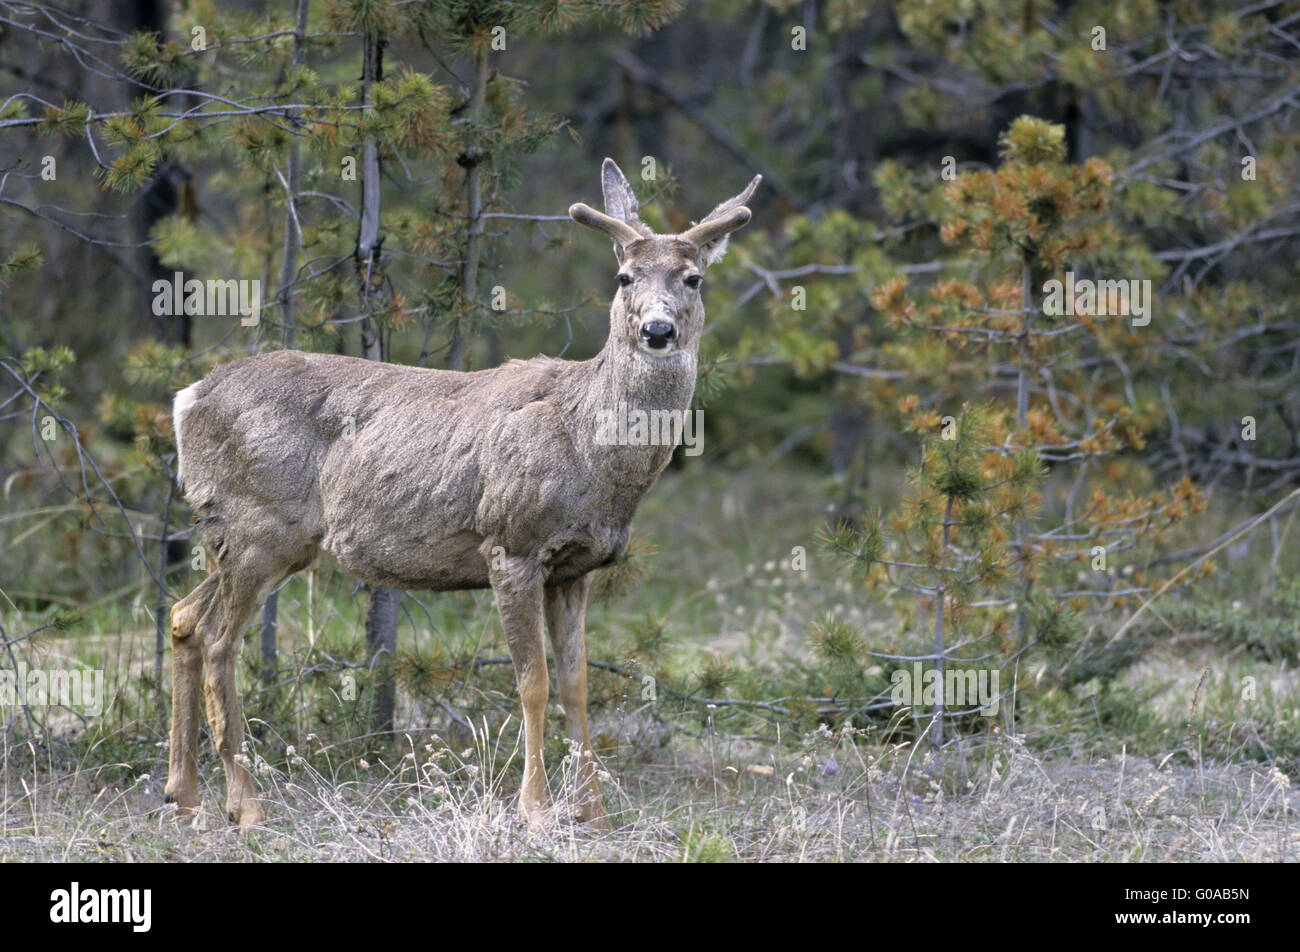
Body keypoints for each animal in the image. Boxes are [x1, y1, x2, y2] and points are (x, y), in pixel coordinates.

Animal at [163, 159, 759, 827]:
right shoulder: (512, 543)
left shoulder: (576, 568)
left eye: (694, 278)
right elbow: (533, 683)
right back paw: (246, 806)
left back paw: (183, 793)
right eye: (624, 276)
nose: (658, 329)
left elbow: (577, 685)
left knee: (184, 618)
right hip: (260, 526)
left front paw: (595, 814)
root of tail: (188, 399)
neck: (591, 447)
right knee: (220, 641)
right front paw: (535, 811)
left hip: (237, 536)